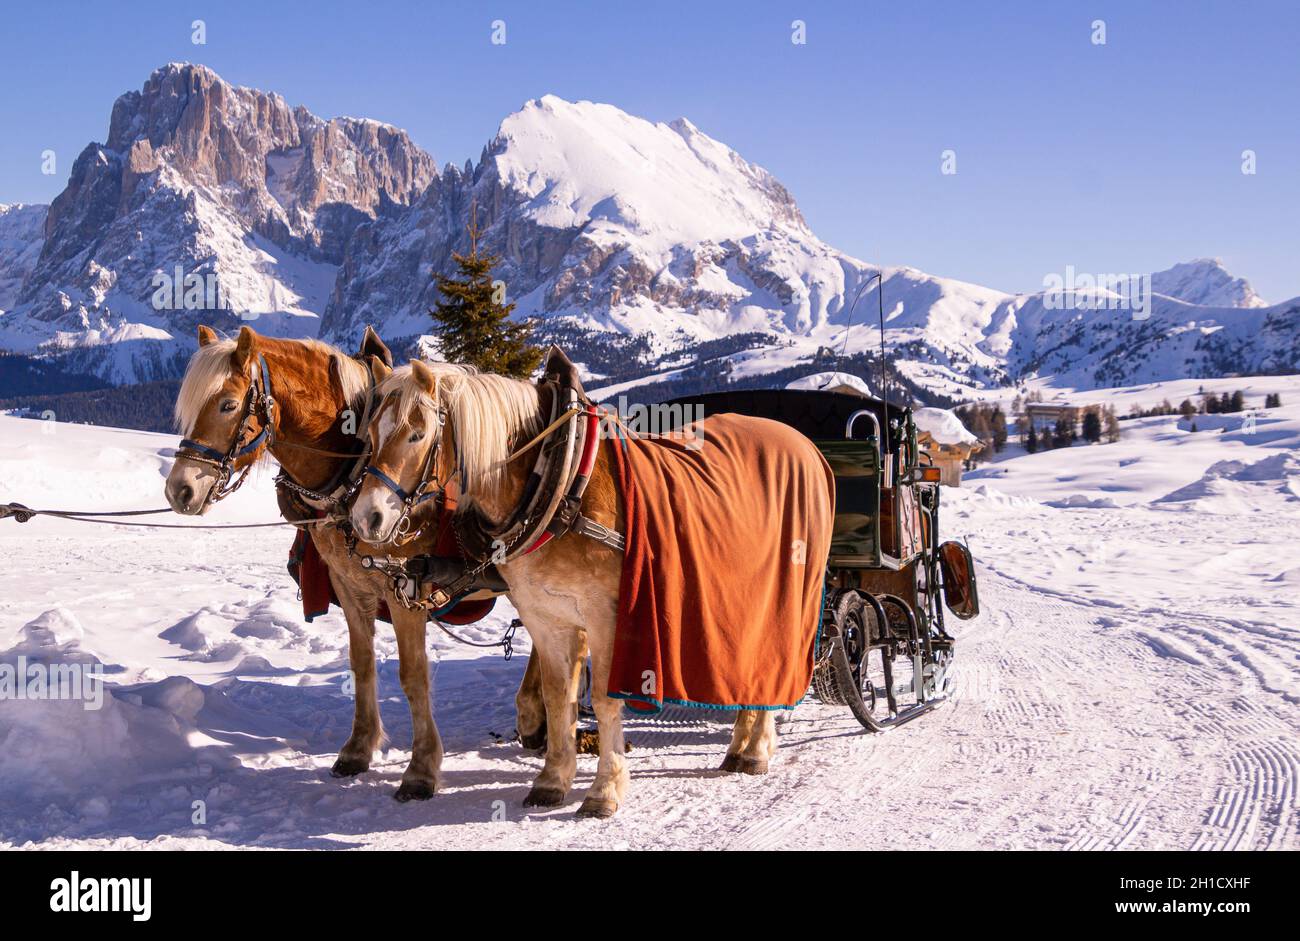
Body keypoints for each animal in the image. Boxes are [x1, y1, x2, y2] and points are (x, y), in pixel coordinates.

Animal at [165, 324, 449, 800]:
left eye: (227, 404)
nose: (178, 490)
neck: (353, 472)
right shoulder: (348, 585)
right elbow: (361, 663)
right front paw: (358, 748)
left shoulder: (406, 590)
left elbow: (413, 674)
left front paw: (422, 769)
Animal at [348, 361, 790, 816]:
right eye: (370, 434)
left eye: (417, 433)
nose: (366, 518)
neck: (559, 483)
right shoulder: (543, 616)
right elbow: (558, 694)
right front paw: (552, 779)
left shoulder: (608, 615)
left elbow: (606, 697)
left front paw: (604, 789)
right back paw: (741, 744)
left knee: (776, 664)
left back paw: (755, 749)